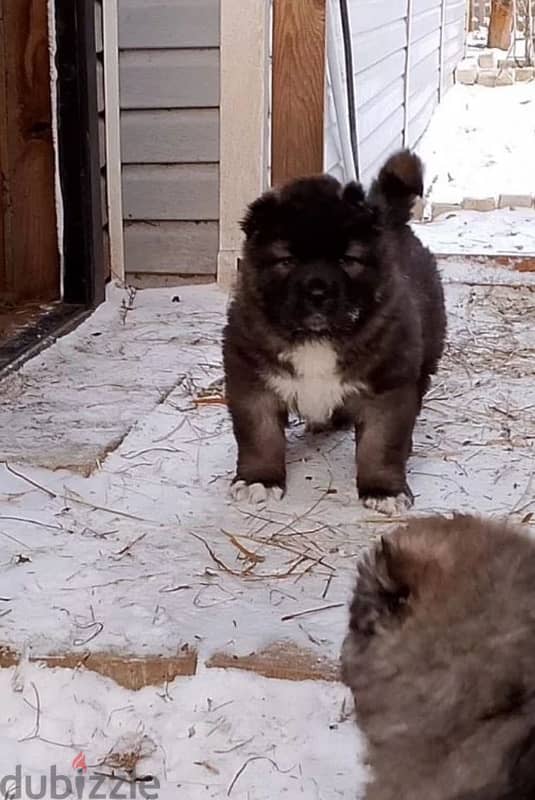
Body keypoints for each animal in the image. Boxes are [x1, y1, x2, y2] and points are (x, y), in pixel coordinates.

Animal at [222, 149, 448, 512]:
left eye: (346, 260)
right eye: (287, 260)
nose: (317, 292)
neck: (317, 338)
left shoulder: (388, 386)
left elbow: (380, 444)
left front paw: (383, 490)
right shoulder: (251, 379)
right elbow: (259, 436)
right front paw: (259, 480)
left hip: (427, 355)